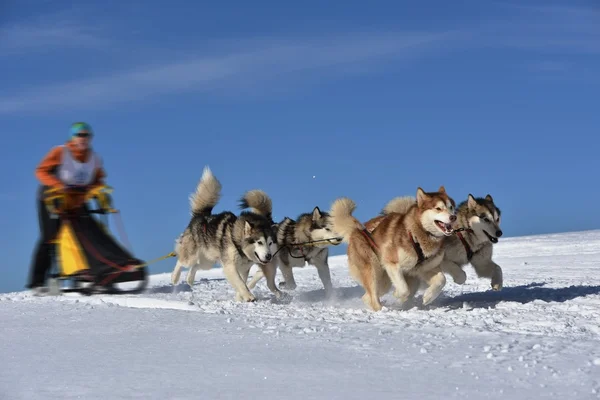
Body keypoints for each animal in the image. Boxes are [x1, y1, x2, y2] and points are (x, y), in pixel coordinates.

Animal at [169, 167, 282, 302]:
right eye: (259, 242)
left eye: (270, 243)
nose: (269, 256)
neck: (237, 242)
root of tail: (201, 216)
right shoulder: (230, 266)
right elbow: (240, 283)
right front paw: (248, 296)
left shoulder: (244, 269)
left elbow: (243, 282)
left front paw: (240, 298)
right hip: (191, 255)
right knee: (181, 261)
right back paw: (174, 277)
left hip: (208, 261)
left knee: (196, 266)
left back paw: (189, 279)